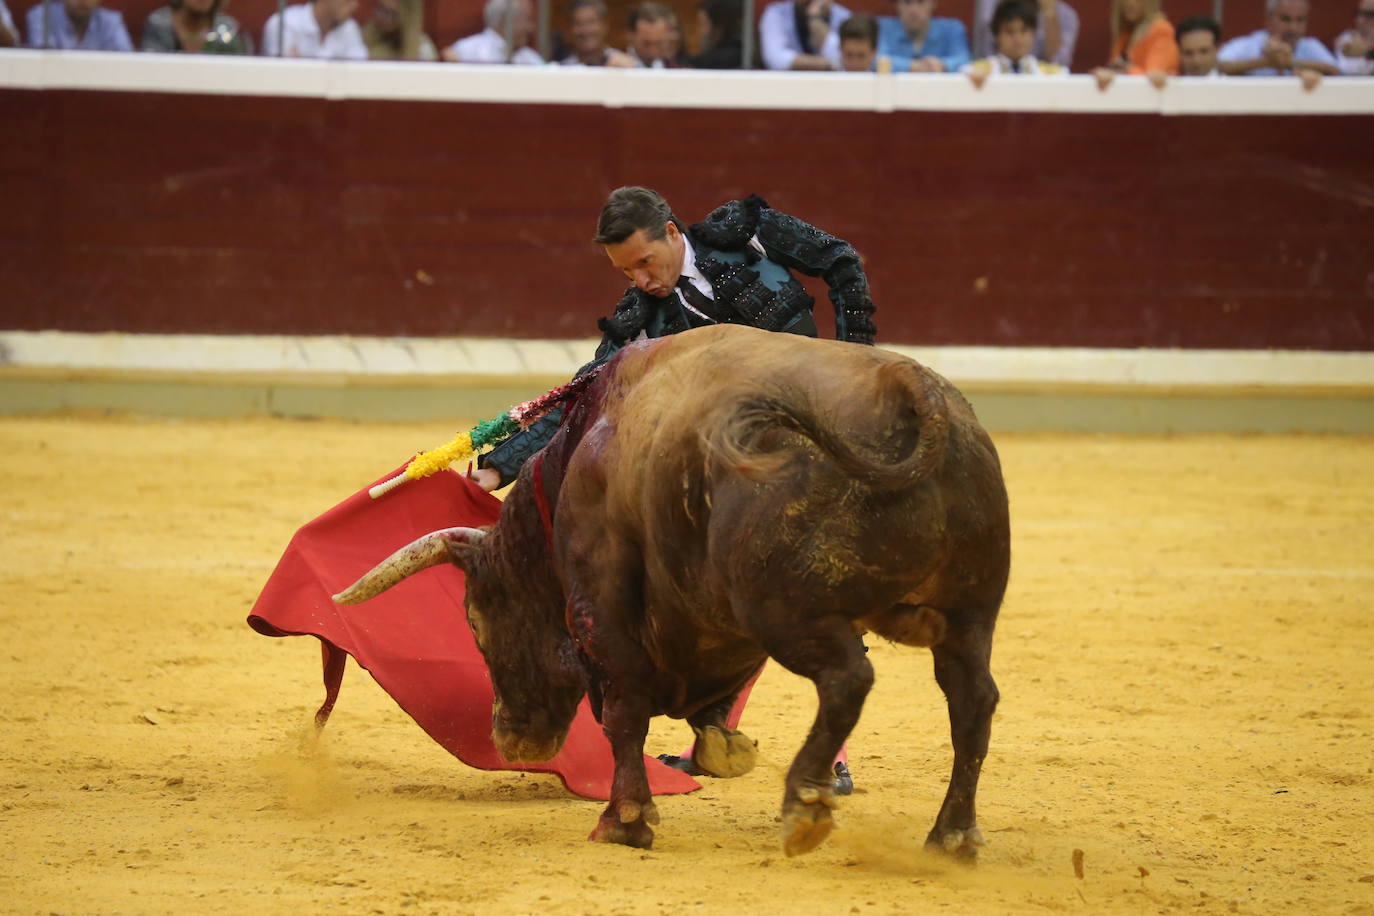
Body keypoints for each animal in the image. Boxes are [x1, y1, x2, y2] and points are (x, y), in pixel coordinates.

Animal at [332, 324, 1011, 862]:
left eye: (475, 619)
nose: (511, 738)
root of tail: (913, 393)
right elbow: (710, 707)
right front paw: (723, 750)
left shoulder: (600, 611)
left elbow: (623, 713)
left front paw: (624, 821)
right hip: (970, 614)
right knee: (972, 700)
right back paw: (952, 837)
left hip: (786, 613)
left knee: (848, 679)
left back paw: (804, 807)